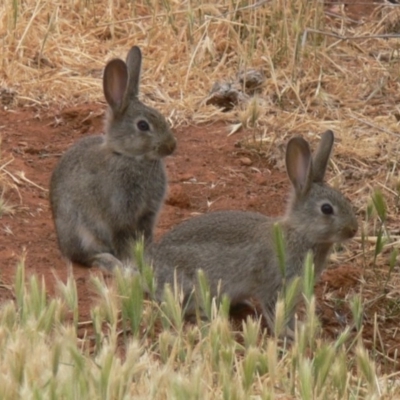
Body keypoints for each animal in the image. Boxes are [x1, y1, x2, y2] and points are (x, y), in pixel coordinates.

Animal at [49, 47, 176, 272]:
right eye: (143, 126)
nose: (171, 146)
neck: (128, 157)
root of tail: (63, 244)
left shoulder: (147, 217)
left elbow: (145, 240)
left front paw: (148, 262)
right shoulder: (119, 217)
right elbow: (122, 242)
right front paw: (131, 265)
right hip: (82, 232)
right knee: (87, 257)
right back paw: (112, 264)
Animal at [149, 130, 356, 332]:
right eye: (326, 209)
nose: (353, 229)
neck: (300, 232)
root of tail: (151, 271)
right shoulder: (273, 288)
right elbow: (277, 314)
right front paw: (290, 335)